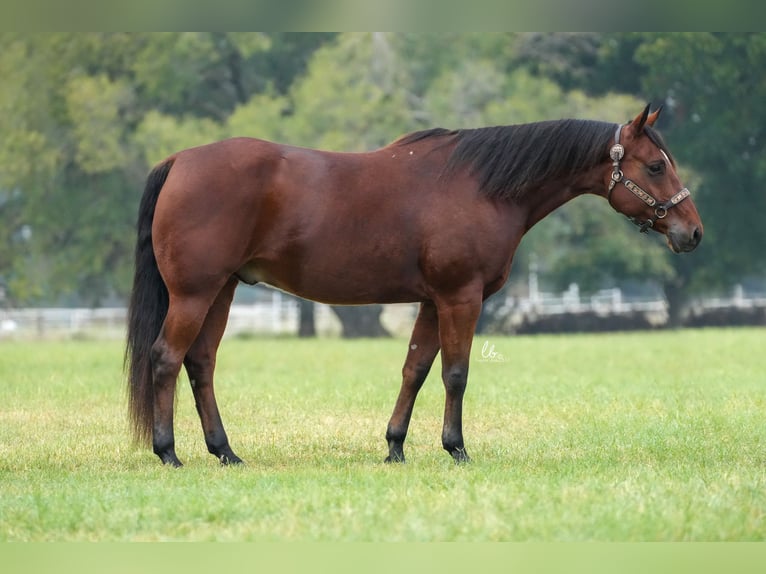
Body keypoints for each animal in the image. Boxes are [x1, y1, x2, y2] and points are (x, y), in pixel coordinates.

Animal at [124, 103, 704, 468]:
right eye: (656, 166)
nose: (693, 232)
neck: (480, 187)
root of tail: (180, 161)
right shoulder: (461, 297)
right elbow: (455, 374)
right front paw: (457, 449)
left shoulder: (430, 301)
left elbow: (415, 370)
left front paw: (395, 447)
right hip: (195, 294)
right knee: (166, 358)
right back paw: (168, 452)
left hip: (221, 291)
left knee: (200, 363)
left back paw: (225, 451)